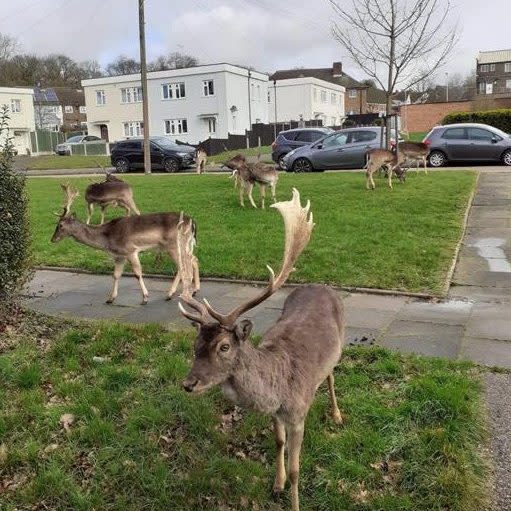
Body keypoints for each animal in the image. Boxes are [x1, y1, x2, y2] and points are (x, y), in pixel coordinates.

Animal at [51, 184, 200, 304]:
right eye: (57, 224)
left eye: (61, 225)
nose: (52, 239)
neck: (107, 238)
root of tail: (192, 221)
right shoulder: (119, 255)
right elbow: (116, 275)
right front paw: (110, 298)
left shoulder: (130, 250)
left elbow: (138, 273)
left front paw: (145, 298)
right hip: (185, 245)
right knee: (193, 259)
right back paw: (194, 290)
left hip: (174, 246)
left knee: (183, 266)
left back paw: (171, 294)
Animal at [178, 189, 346, 511]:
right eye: (195, 345)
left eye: (224, 346)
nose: (188, 383)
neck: (275, 391)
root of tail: (322, 285)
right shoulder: (276, 415)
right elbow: (277, 443)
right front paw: (276, 485)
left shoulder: (298, 414)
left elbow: (296, 471)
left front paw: (293, 499)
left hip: (340, 344)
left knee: (332, 376)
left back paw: (337, 415)